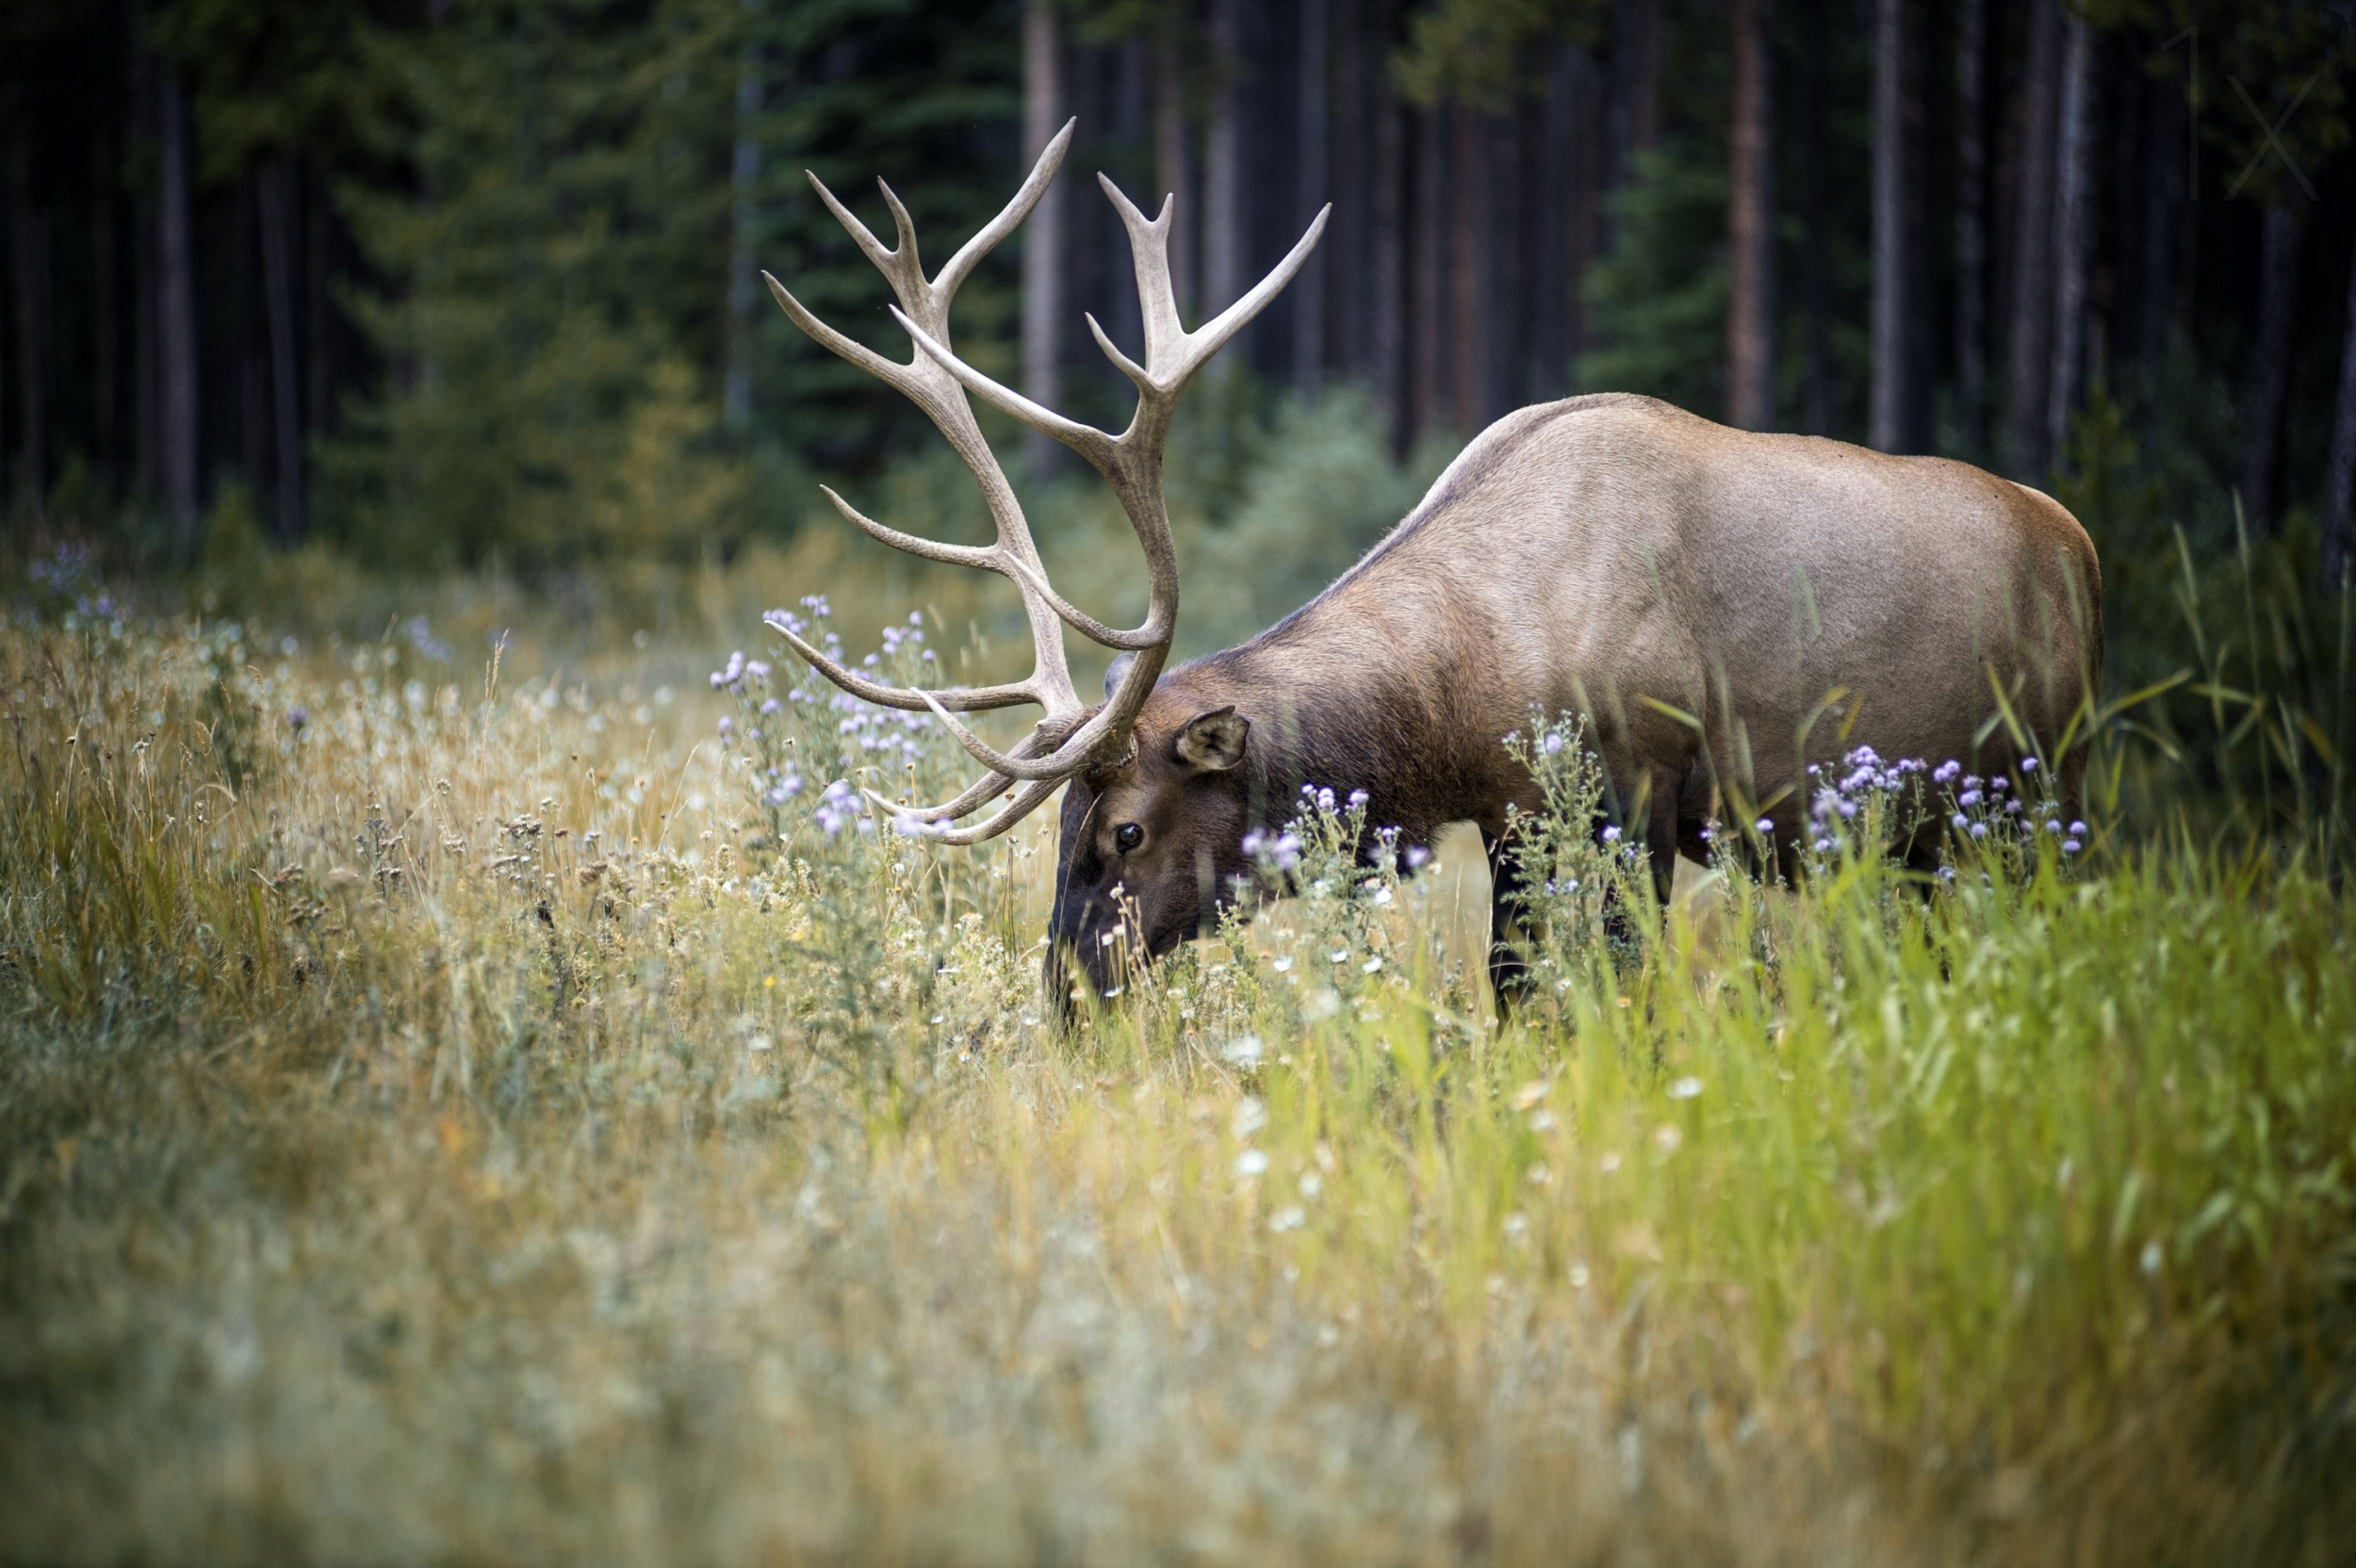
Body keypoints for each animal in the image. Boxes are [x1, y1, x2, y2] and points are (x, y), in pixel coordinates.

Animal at [759, 119, 2102, 1003]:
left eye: (1127, 832)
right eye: (1060, 834)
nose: (1068, 996)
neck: (1466, 687)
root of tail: (2079, 546)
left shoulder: (1636, 788)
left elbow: (1610, 994)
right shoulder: (1509, 817)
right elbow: (1510, 990)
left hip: (2043, 788)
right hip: (1932, 836)